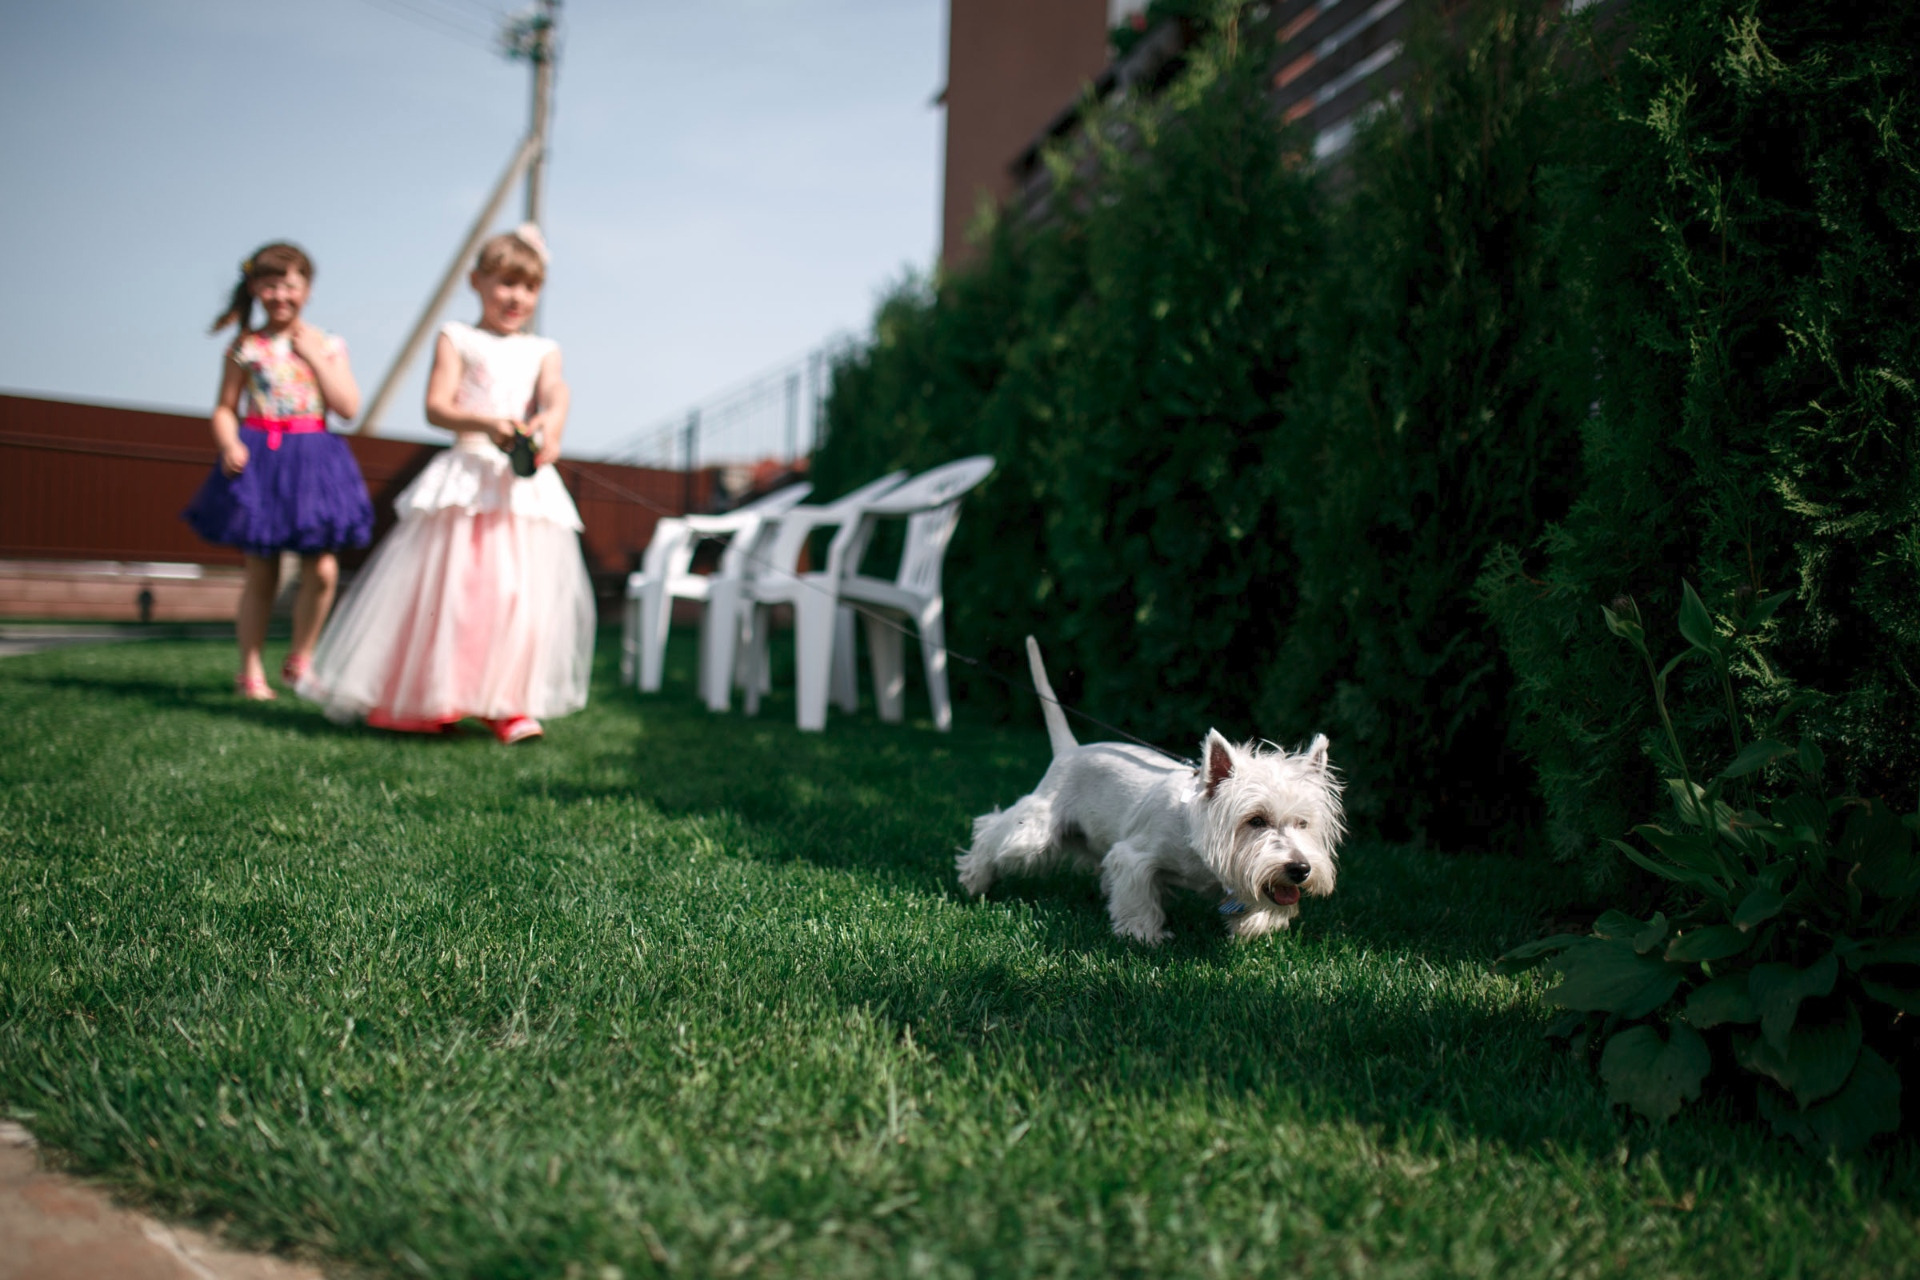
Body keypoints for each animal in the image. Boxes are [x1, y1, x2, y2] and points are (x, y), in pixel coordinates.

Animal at [952, 637, 1344, 948]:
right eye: (1256, 820)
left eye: (1303, 823)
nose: (1300, 869)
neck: (1193, 832)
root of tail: (1069, 750)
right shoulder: (1134, 855)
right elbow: (1138, 896)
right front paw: (1143, 934)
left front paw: (1252, 923)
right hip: (1033, 832)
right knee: (992, 832)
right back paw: (974, 879)